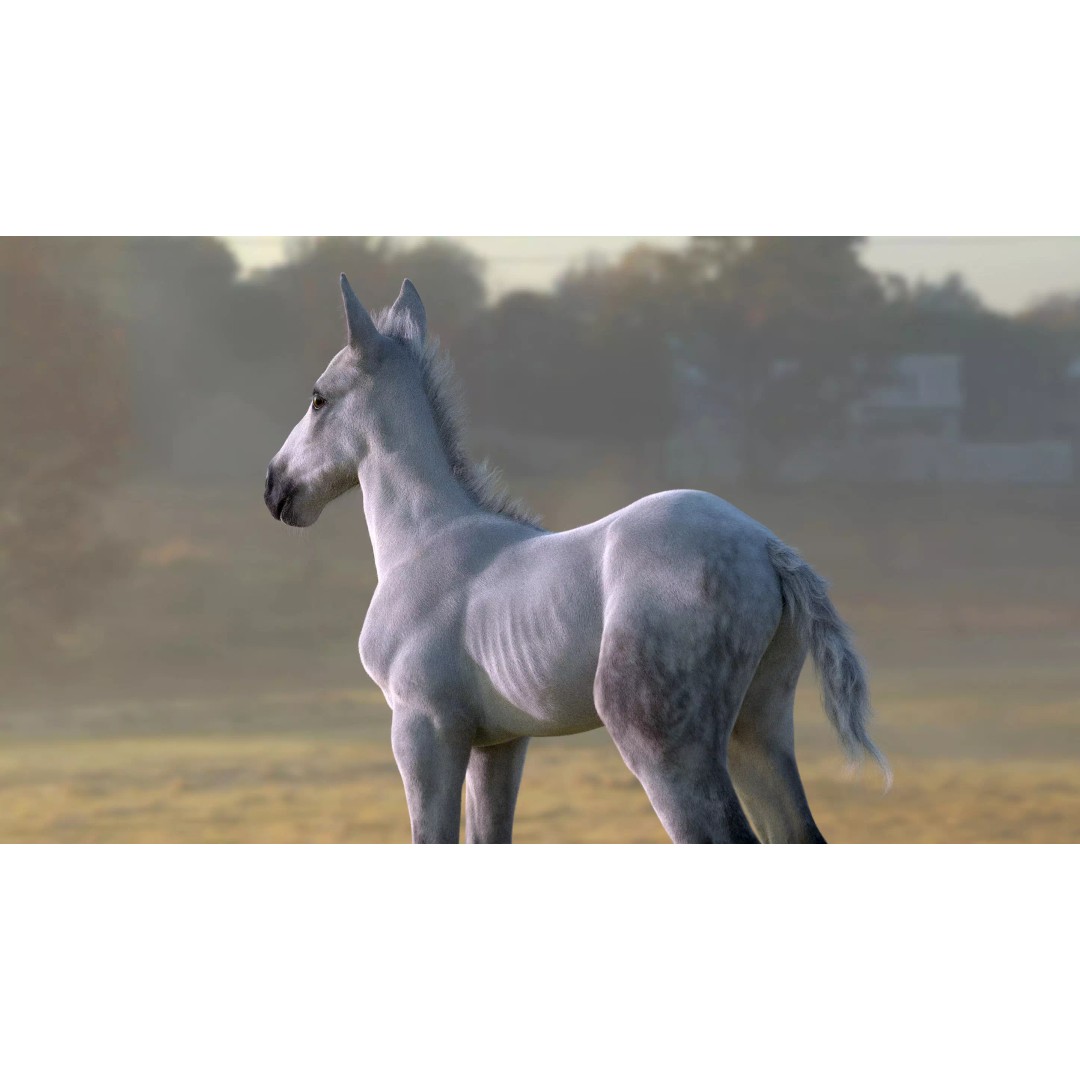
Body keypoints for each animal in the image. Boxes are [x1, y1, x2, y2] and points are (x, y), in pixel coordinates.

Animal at [264, 274, 889, 843]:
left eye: (319, 398)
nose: (274, 488)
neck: (422, 543)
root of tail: (766, 547)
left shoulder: (424, 731)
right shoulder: (499, 742)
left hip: (665, 747)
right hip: (756, 728)